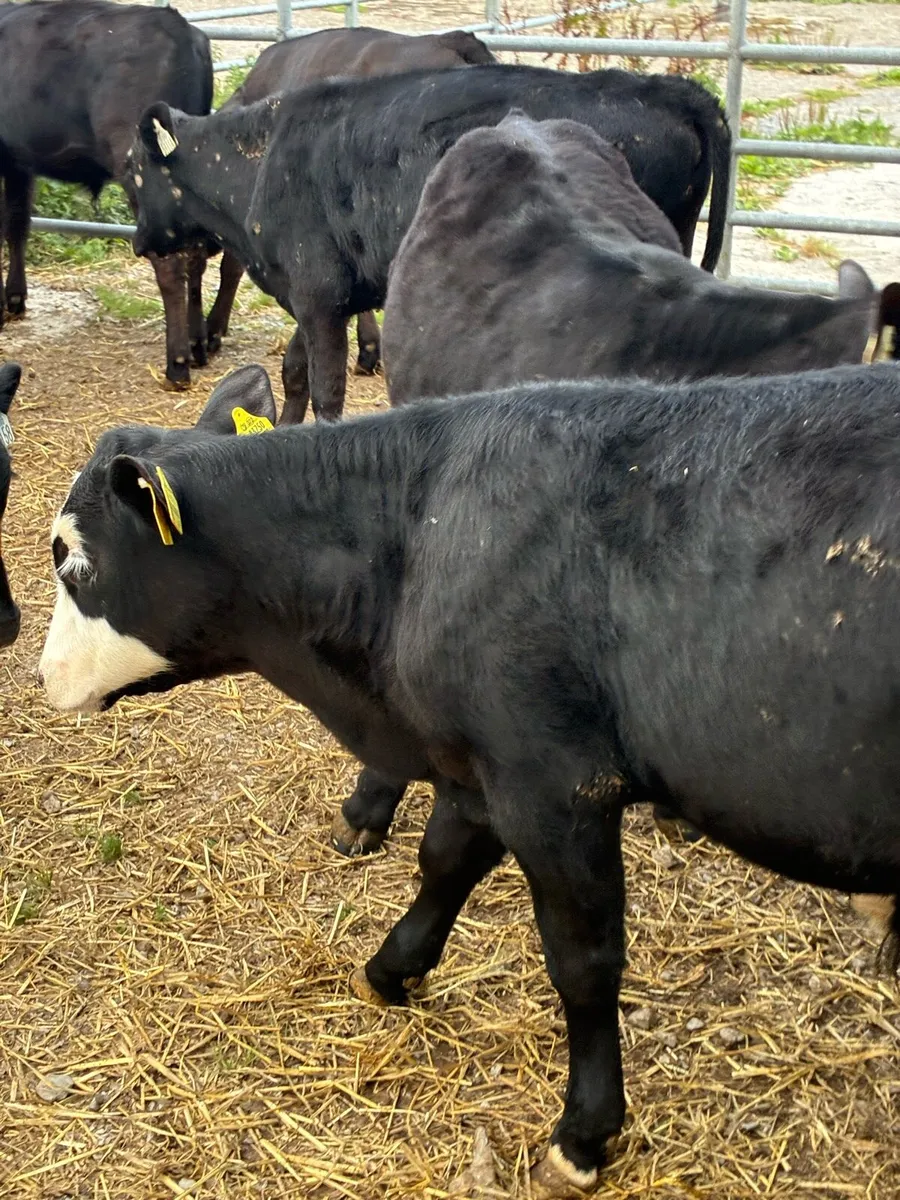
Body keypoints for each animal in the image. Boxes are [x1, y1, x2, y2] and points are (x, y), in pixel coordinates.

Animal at [0, 0, 214, 388]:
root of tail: (177, 26)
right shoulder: (18, 160)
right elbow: (17, 225)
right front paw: (15, 299)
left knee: (171, 263)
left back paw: (177, 364)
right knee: (196, 254)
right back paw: (196, 344)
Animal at [39, 361, 900, 1197]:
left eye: (75, 562)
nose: (42, 676)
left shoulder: (554, 785)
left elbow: (583, 960)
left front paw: (583, 1134)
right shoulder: (482, 768)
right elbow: (444, 861)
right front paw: (391, 969)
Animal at [127, 61, 730, 421]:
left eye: (135, 173)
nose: (137, 243)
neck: (260, 161)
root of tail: (670, 89)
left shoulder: (318, 295)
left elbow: (326, 392)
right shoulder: (313, 293)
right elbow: (293, 374)